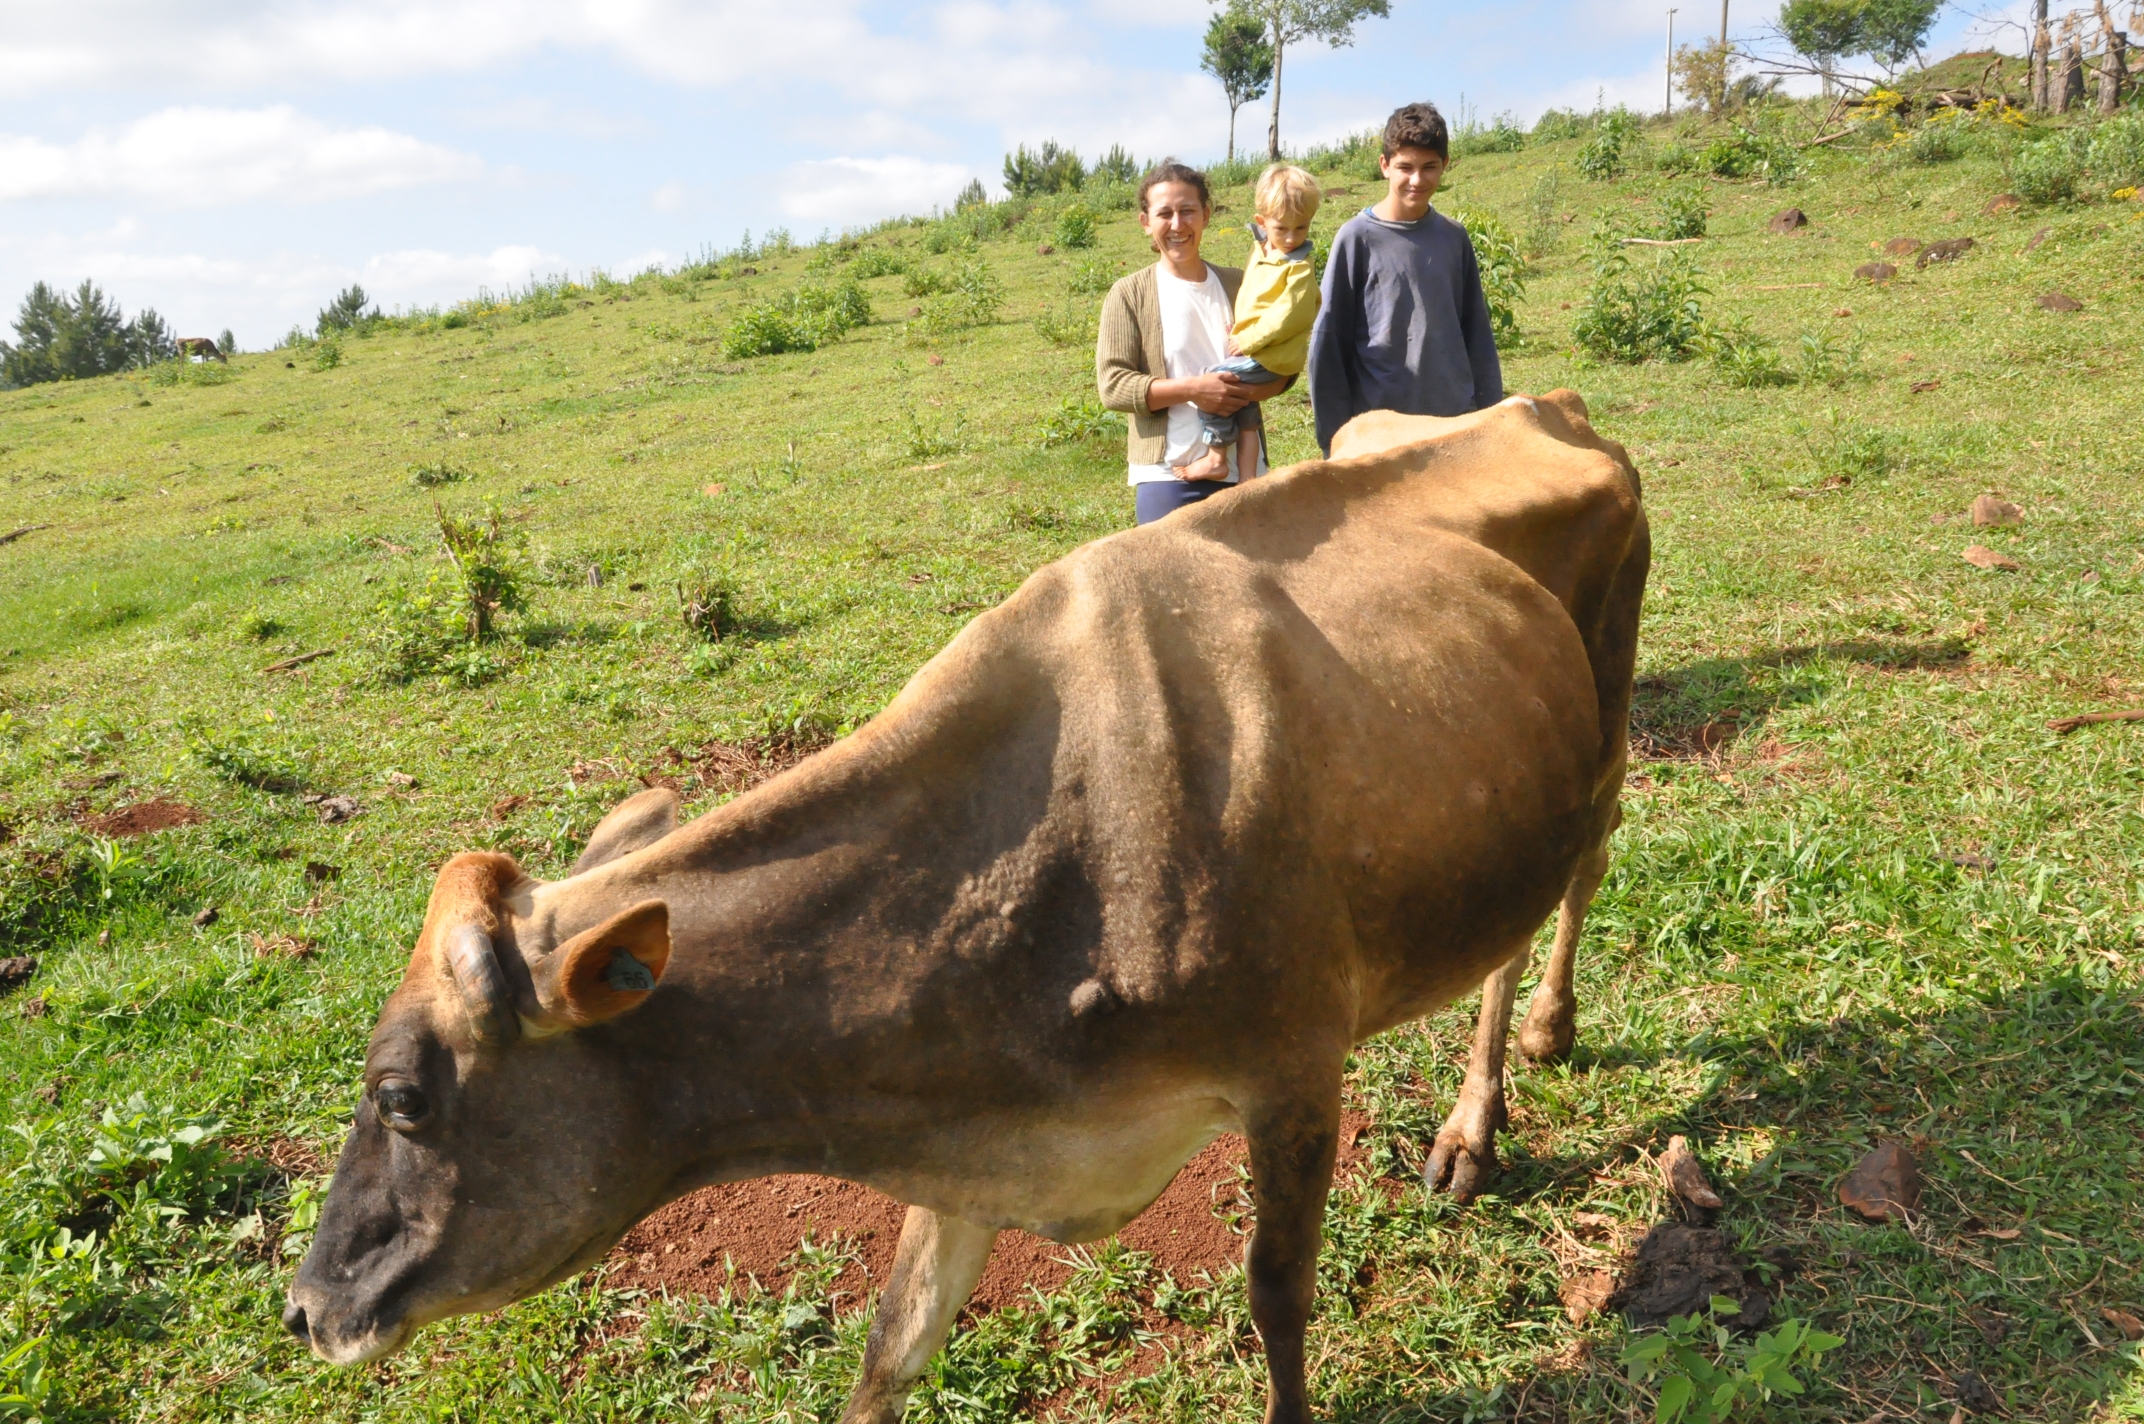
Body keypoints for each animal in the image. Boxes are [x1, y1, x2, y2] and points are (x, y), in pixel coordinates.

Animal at [283, 389, 1648, 1424]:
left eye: (402, 1095)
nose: (304, 1305)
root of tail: (1546, 403)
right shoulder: (968, 1128)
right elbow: (892, 1343)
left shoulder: (1295, 1070)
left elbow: (1275, 1296)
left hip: (1602, 734)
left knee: (1571, 882)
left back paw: (1505, 1082)